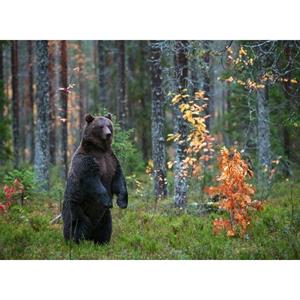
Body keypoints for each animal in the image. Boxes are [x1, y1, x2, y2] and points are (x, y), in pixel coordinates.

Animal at [62, 112, 128, 244]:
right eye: (100, 126)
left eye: (109, 125)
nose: (108, 134)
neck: (100, 150)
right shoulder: (86, 162)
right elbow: (93, 182)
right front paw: (108, 201)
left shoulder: (111, 161)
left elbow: (118, 180)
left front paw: (122, 202)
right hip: (76, 207)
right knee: (77, 225)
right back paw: (75, 241)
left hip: (104, 216)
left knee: (106, 227)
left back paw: (102, 242)